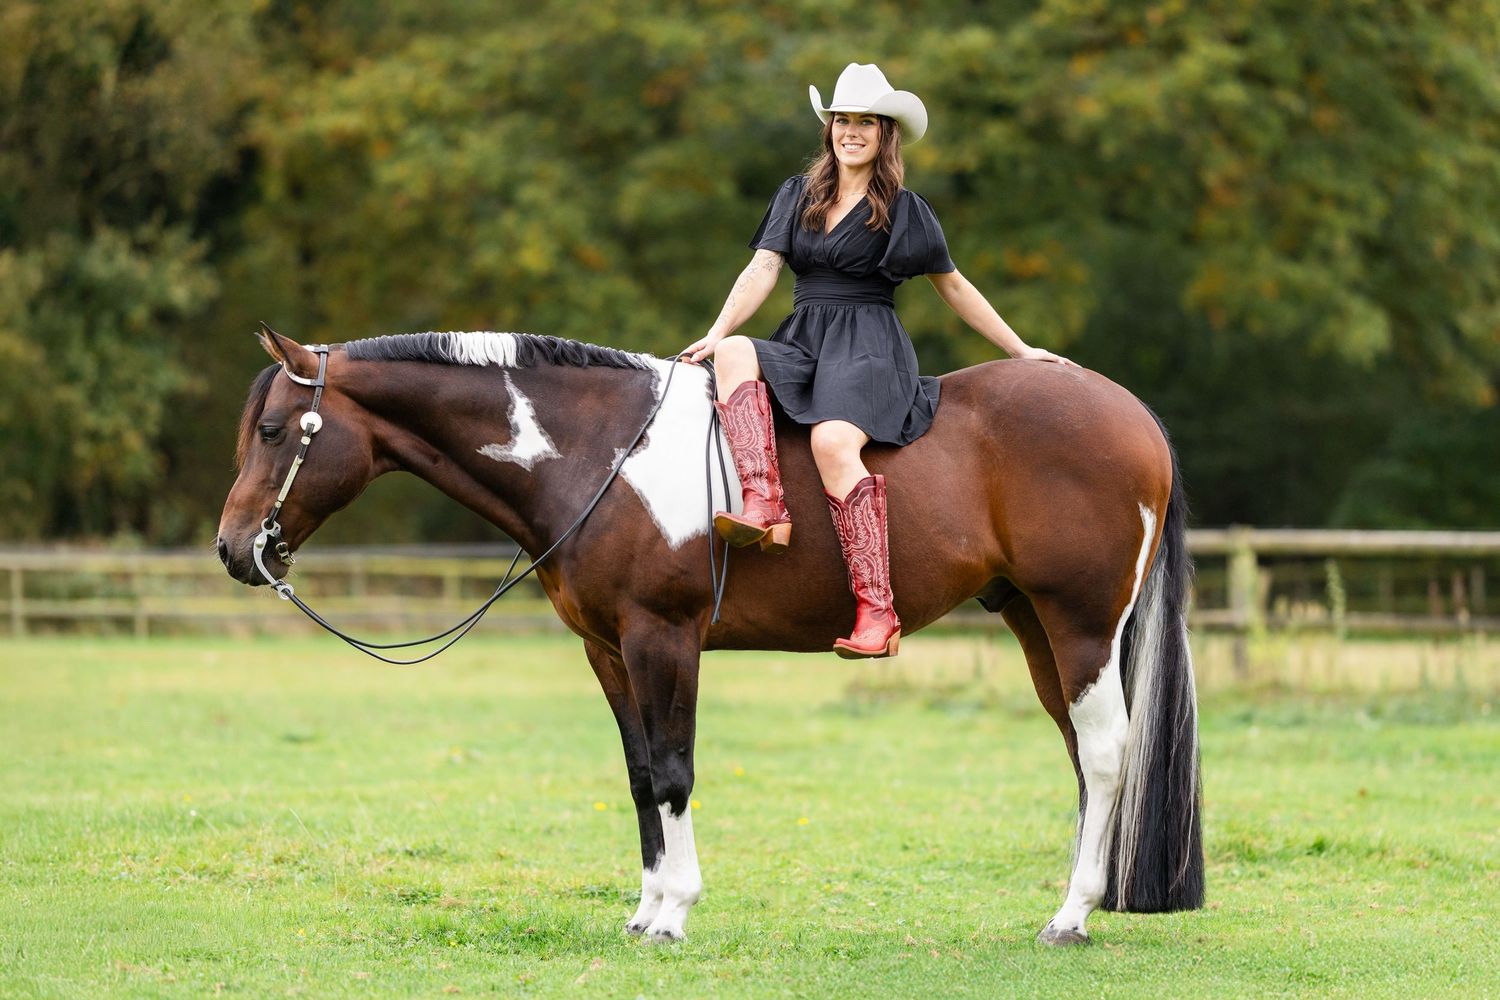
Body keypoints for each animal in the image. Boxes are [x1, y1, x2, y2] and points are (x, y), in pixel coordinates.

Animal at [216, 328, 1203, 946]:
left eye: (275, 429)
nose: (233, 550)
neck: (600, 452)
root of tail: (1133, 415)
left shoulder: (664, 639)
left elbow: (675, 771)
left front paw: (675, 912)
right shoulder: (608, 649)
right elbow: (639, 776)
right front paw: (646, 908)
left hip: (1080, 623)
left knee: (1106, 754)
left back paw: (1071, 916)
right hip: (1038, 627)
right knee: (1084, 756)